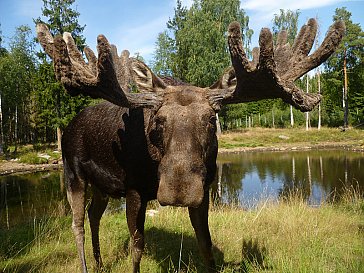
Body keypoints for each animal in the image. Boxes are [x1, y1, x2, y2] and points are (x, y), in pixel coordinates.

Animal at [36, 17, 344, 272]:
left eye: (211, 118)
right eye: (158, 120)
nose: (180, 189)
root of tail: (68, 126)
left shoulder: (204, 191)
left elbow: (205, 245)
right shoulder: (134, 190)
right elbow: (137, 247)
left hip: (103, 186)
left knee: (94, 215)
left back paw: (100, 264)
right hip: (74, 173)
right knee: (77, 224)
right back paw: (86, 265)